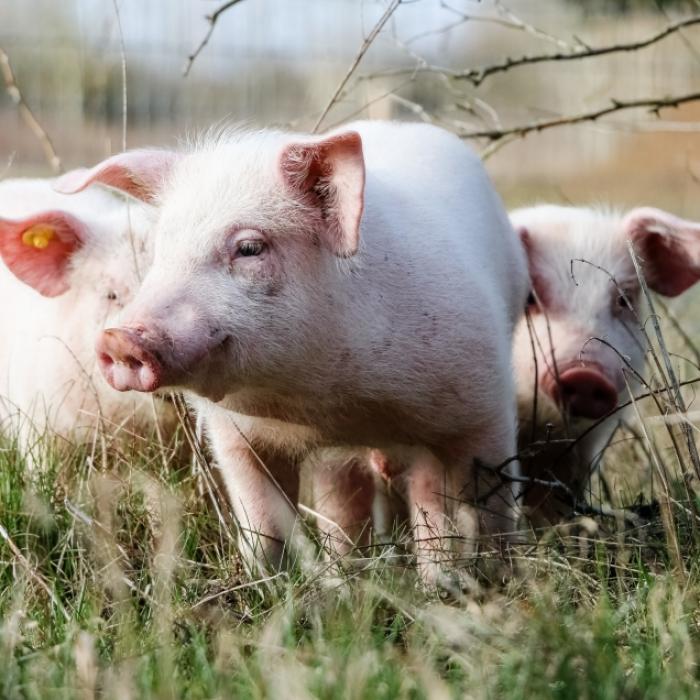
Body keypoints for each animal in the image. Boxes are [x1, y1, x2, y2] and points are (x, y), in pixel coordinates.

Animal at [57, 121, 528, 587]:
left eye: (249, 248)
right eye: (160, 251)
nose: (119, 339)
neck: (330, 404)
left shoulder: (480, 408)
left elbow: (476, 509)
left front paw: (482, 581)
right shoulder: (235, 437)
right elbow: (262, 525)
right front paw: (268, 589)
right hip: (338, 464)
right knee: (344, 503)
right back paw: (345, 577)